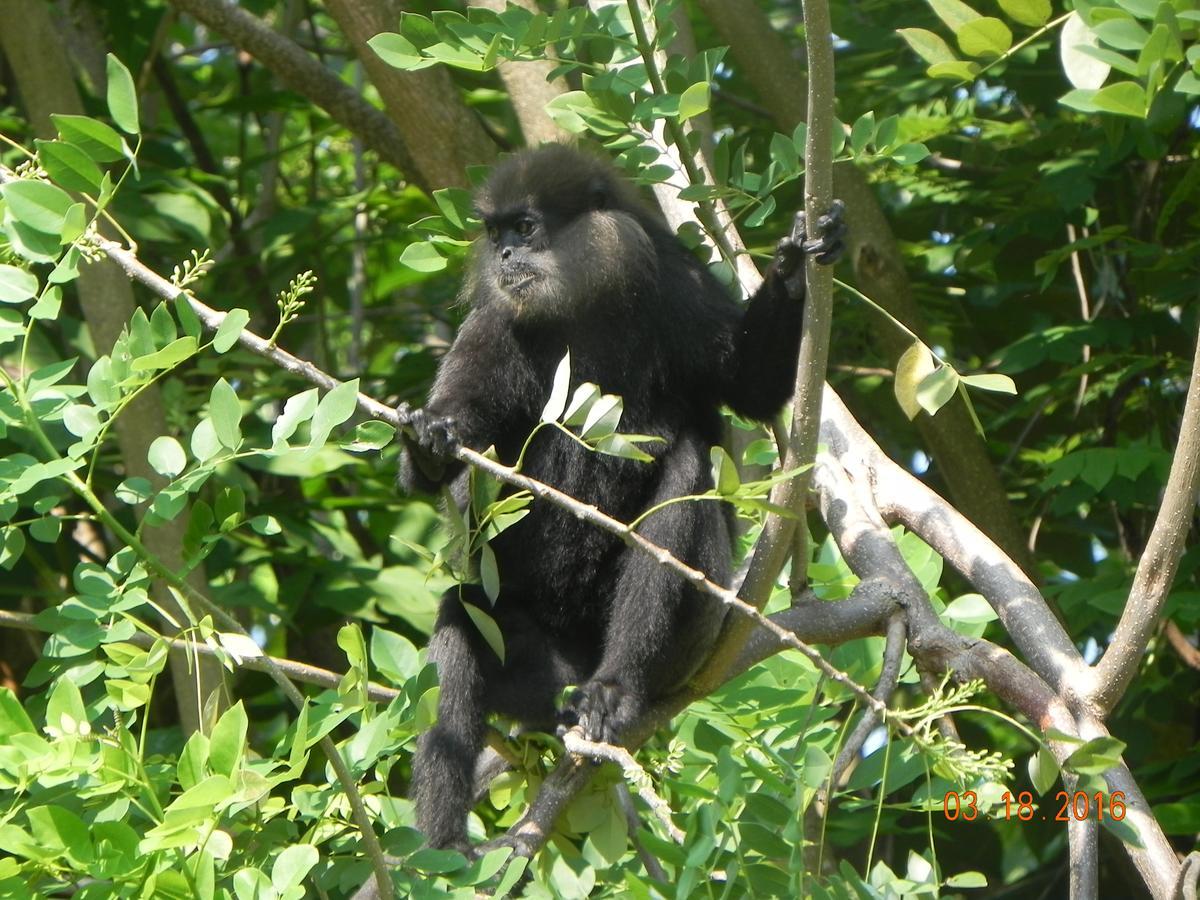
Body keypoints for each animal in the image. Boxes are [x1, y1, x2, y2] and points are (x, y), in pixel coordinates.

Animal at [396, 142, 844, 854]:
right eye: (495, 234)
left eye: (525, 228)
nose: (503, 256)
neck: (582, 307)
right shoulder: (494, 323)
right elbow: (451, 468)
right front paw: (432, 443)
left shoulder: (671, 278)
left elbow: (745, 387)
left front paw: (798, 263)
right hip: (537, 675)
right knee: (463, 619)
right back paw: (442, 856)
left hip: (687, 638)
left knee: (686, 471)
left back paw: (615, 691)